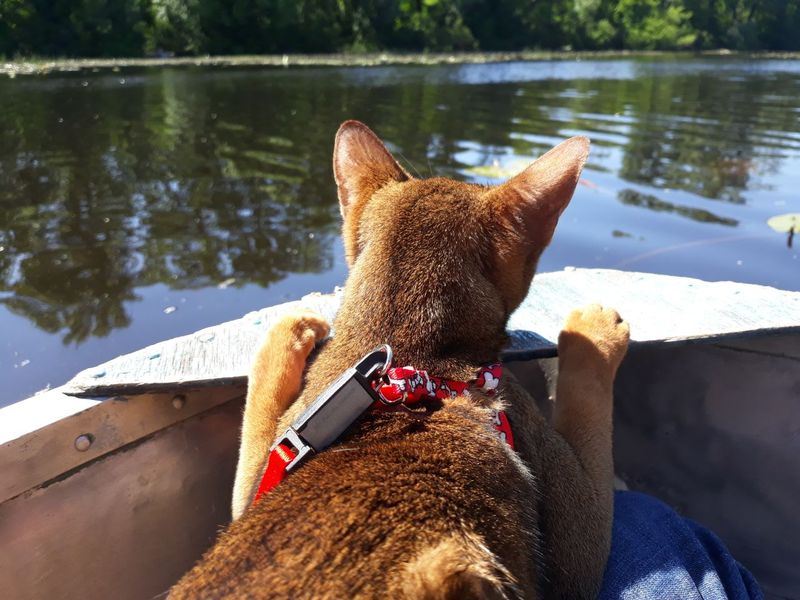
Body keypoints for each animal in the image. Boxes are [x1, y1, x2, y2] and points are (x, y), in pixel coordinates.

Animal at [170, 119, 632, 596]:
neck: (408, 350)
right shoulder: (577, 553)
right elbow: (589, 402)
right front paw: (594, 331)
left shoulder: (264, 474)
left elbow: (254, 422)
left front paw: (288, 330)